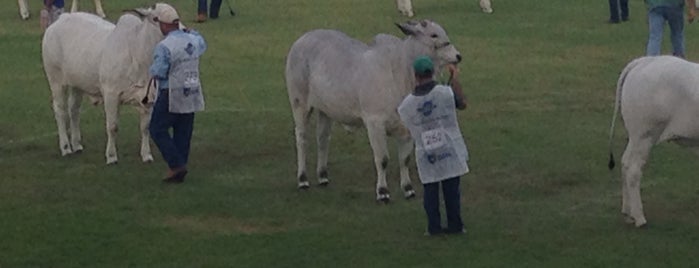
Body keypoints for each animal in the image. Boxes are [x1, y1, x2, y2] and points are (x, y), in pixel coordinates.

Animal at [41, 3, 178, 163]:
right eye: (156, 18)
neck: (137, 54)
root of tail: (61, 19)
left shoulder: (149, 97)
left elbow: (145, 128)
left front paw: (146, 155)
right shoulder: (111, 95)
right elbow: (112, 127)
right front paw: (111, 156)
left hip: (77, 84)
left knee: (74, 109)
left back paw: (77, 144)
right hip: (56, 80)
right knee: (60, 110)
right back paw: (66, 147)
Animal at [288, 19, 462, 201]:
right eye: (433, 35)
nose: (458, 56)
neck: (400, 73)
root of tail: (302, 39)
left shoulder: (406, 128)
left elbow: (405, 159)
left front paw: (408, 188)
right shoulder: (375, 123)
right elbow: (382, 159)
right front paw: (382, 191)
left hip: (325, 110)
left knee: (322, 139)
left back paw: (322, 176)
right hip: (299, 103)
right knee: (302, 138)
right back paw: (303, 179)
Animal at [608, 55, 699, 227]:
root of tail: (645, 61)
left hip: (635, 138)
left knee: (625, 163)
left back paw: (628, 212)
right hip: (646, 136)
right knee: (634, 171)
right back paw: (639, 218)